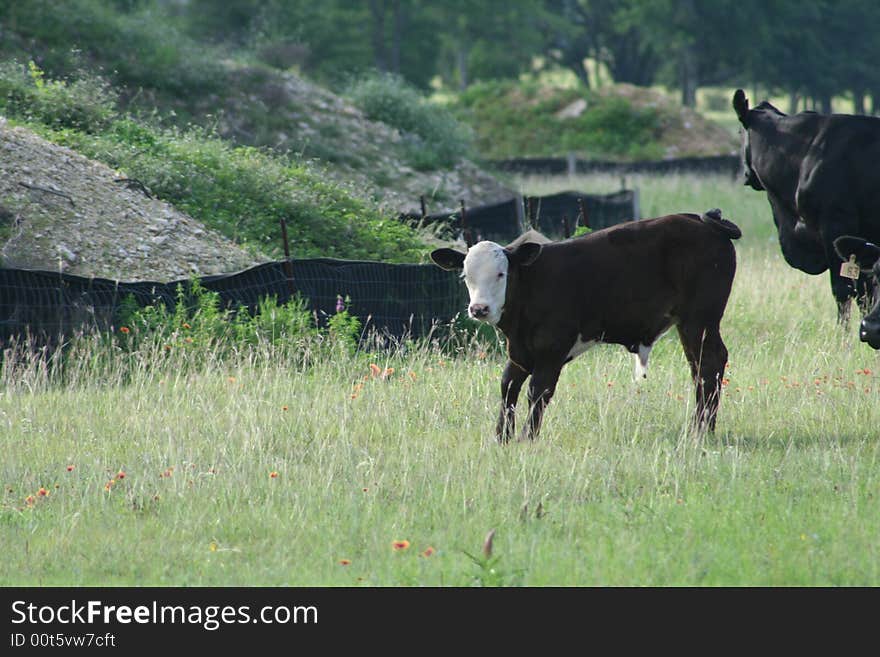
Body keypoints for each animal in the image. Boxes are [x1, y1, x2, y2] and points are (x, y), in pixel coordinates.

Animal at [430, 210, 740, 440]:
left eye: (500, 274)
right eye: (466, 276)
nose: (479, 309)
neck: (532, 287)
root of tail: (704, 221)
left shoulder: (551, 351)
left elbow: (537, 391)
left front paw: (528, 438)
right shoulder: (520, 352)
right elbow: (508, 386)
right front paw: (502, 437)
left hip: (700, 319)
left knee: (710, 362)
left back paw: (701, 430)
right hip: (690, 324)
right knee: (699, 367)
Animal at [732, 88, 880, 322]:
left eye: (739, 132)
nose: (745, 174)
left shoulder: (836, 226)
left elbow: (843, 289)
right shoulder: (863, 240)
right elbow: (866, 293)